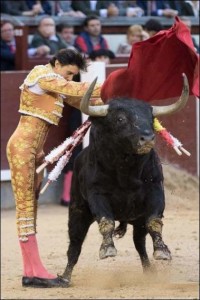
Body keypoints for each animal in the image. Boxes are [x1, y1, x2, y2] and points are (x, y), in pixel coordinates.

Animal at [60, 75, 188, 286]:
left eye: (151, 118)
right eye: (120, 119)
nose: (148, 139)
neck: (126, 170)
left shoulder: (155, 191)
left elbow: (154, 221)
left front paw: (162, 251)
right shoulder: (97, 194)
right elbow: (106, 221)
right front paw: (107, 249)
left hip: (137, 221)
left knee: (140, 244)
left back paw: (149, 271)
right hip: (77, 211)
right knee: (75, 245)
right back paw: (64, 277)